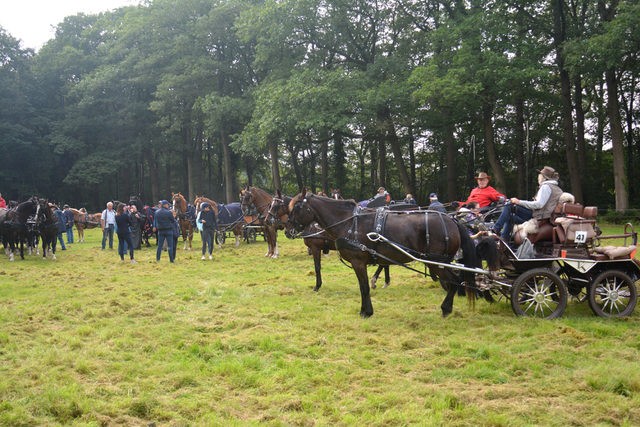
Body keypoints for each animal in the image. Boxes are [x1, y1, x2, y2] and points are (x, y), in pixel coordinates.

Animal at [288, 189, 498, 320]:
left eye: (297, 207)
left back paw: (446, 309)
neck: (348, 222)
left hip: (436, 262)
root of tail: (452, 221)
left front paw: (367, 311)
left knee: (454, 281)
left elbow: (364, 286)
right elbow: (363, 286)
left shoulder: (358, 261)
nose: (288, 230)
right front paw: (365, 309)